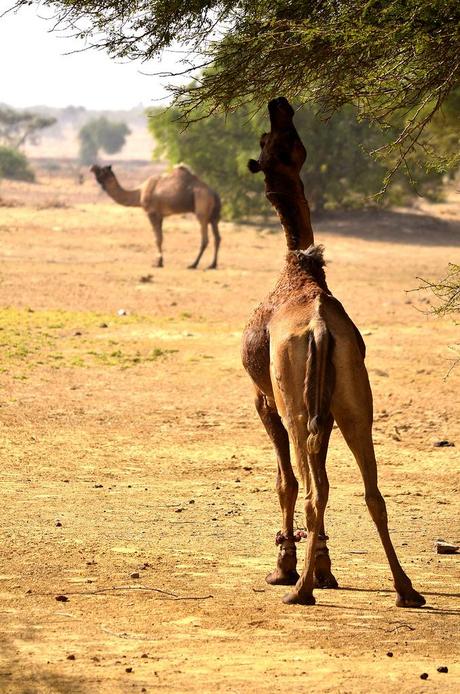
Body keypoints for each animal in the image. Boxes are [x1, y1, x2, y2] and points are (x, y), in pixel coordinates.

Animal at [90, 164, 222, 270]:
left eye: (101, 170)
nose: (92, 167)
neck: (139, 193)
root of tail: (214, 193)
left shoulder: (152, 213)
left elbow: (157, 239)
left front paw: (158, 263)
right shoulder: (160, 215)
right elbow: (160, 238)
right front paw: (159, 261)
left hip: (202, 209)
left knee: (205, 238)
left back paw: (193, 264)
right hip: (214, 217)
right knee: (217, 237)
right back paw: (212, 265)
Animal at [241, 98, 424, 608]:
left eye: (272, 139)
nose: (279, 104)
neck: (298, 270)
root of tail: (321, 327)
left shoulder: (264, 398)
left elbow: (284, 481)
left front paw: (287, 568)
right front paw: (324, 568)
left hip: (296, 402)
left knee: (309, 487)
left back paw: (299, 590)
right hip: (354, 399)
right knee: (370, 490)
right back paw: (406, 589)